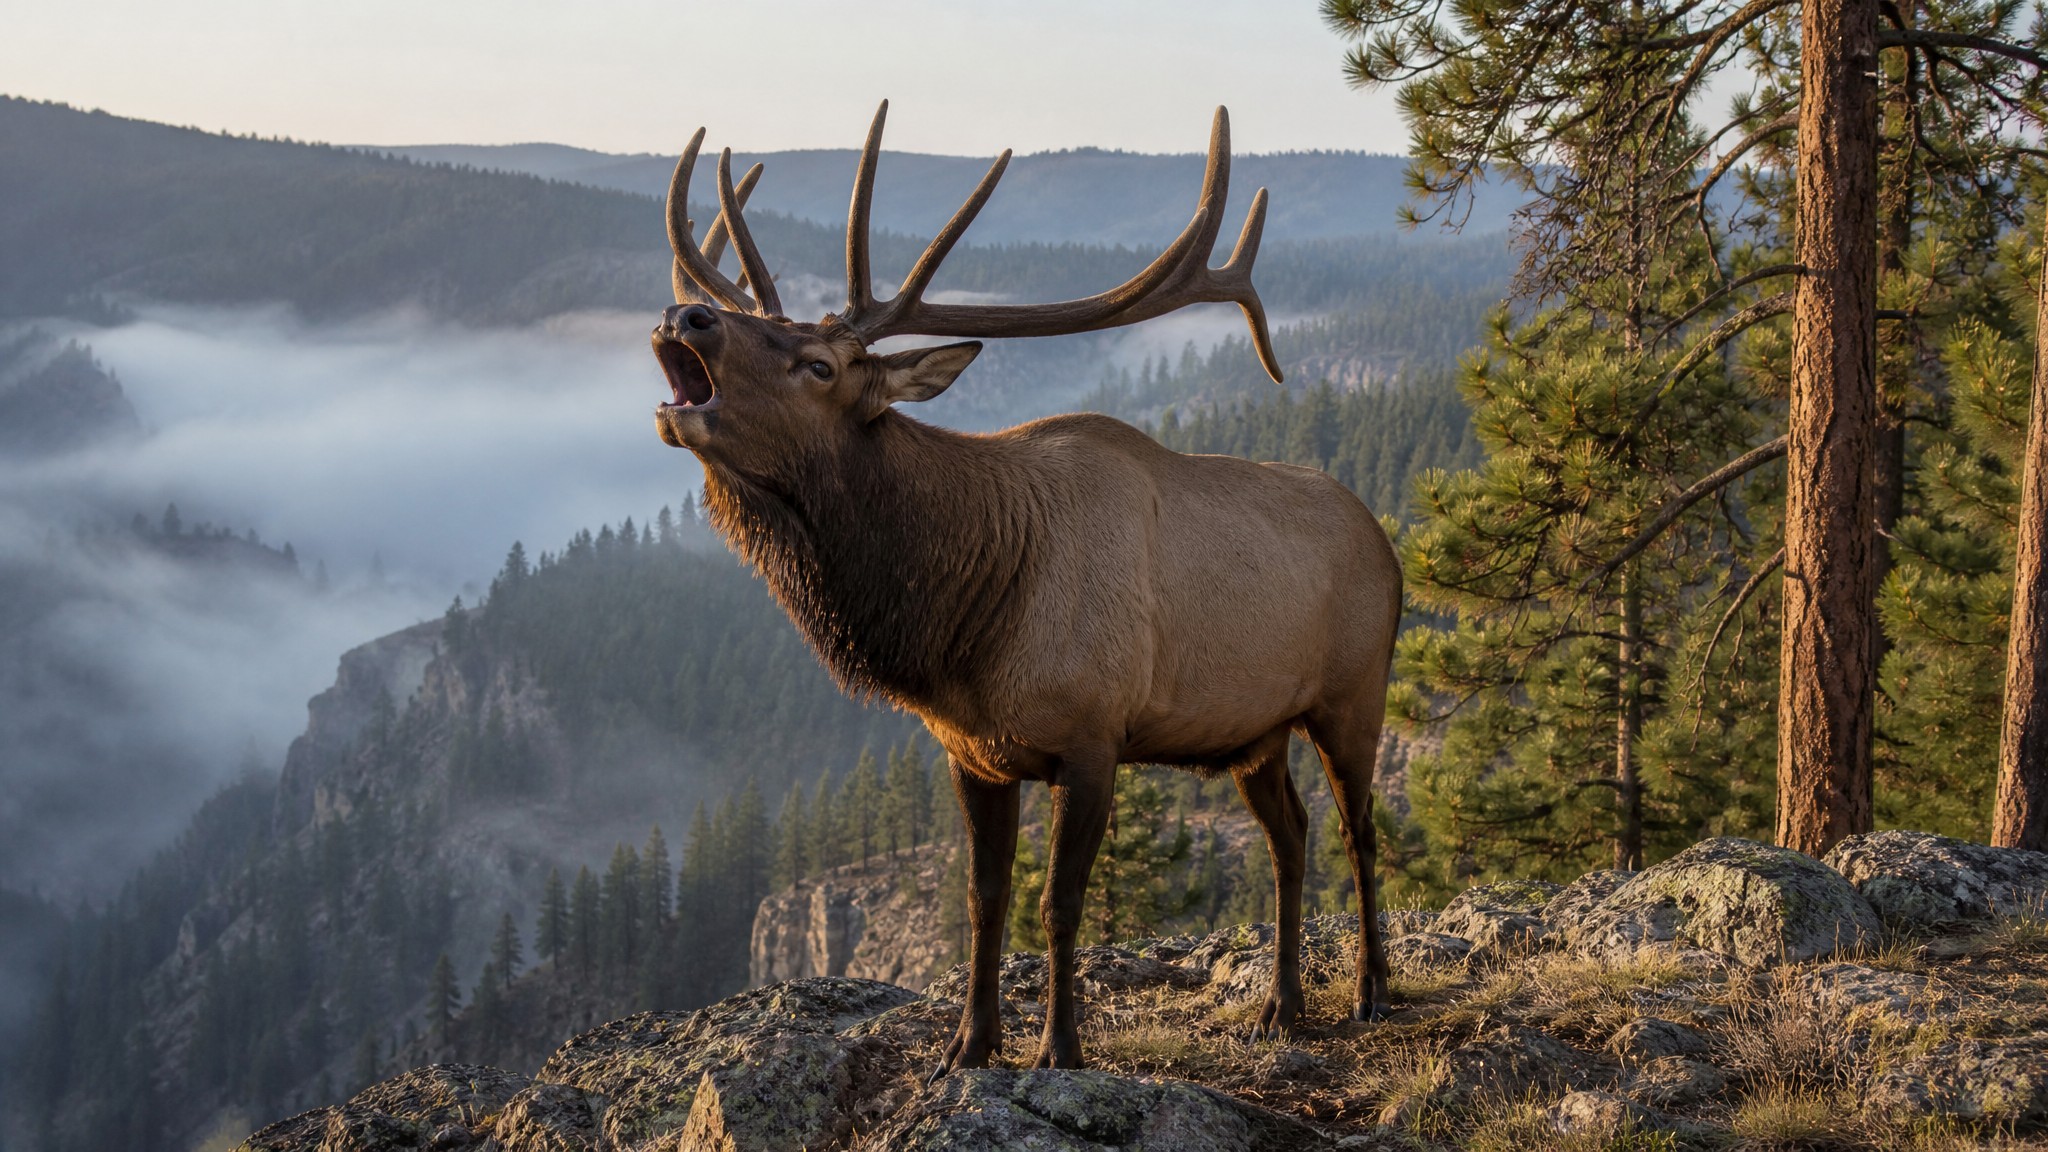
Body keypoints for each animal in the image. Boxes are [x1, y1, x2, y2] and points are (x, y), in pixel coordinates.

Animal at [649, 102, 1402, 1075]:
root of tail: (1384, 539)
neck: (963, 625)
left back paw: (1372, 991)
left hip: (1354, 693)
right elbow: (986, 899)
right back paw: (1281, 1004)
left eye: (818, 365)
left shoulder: (1092, 737)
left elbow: (1058, 903)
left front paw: (1060, 1048)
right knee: (1292, 835)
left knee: (1359, 829)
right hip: (1253, 733)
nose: (689, 314)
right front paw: (968, 1046)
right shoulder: (972, 753)